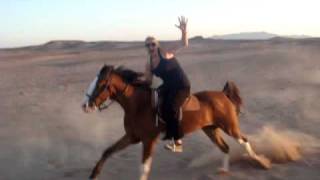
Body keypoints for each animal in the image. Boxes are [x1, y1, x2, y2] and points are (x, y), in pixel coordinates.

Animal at [82, 64, 270, 180]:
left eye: (101, 84)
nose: (85, 105)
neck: (138, 105)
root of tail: (223, 94)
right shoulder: (132, 137)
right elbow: (107, 151)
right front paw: (94, 174)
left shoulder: (149, 140)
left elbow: (144, 168)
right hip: (211, 129)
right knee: (225, 147)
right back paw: (224, 170)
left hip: (229, 126)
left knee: (244, 140)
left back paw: (262, 162)